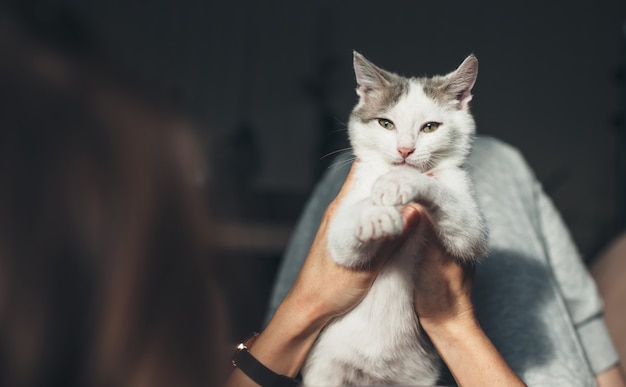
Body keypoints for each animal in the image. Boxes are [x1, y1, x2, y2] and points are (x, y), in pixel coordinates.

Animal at [302, 52, 488, 387]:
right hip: (324, 371)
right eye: (386, 123)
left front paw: (404, 182)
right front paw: (375, 215)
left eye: (430, 127)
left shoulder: (469, 220)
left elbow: (465, 229)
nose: (405, 149)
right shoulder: (339, 228)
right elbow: (344, 243)